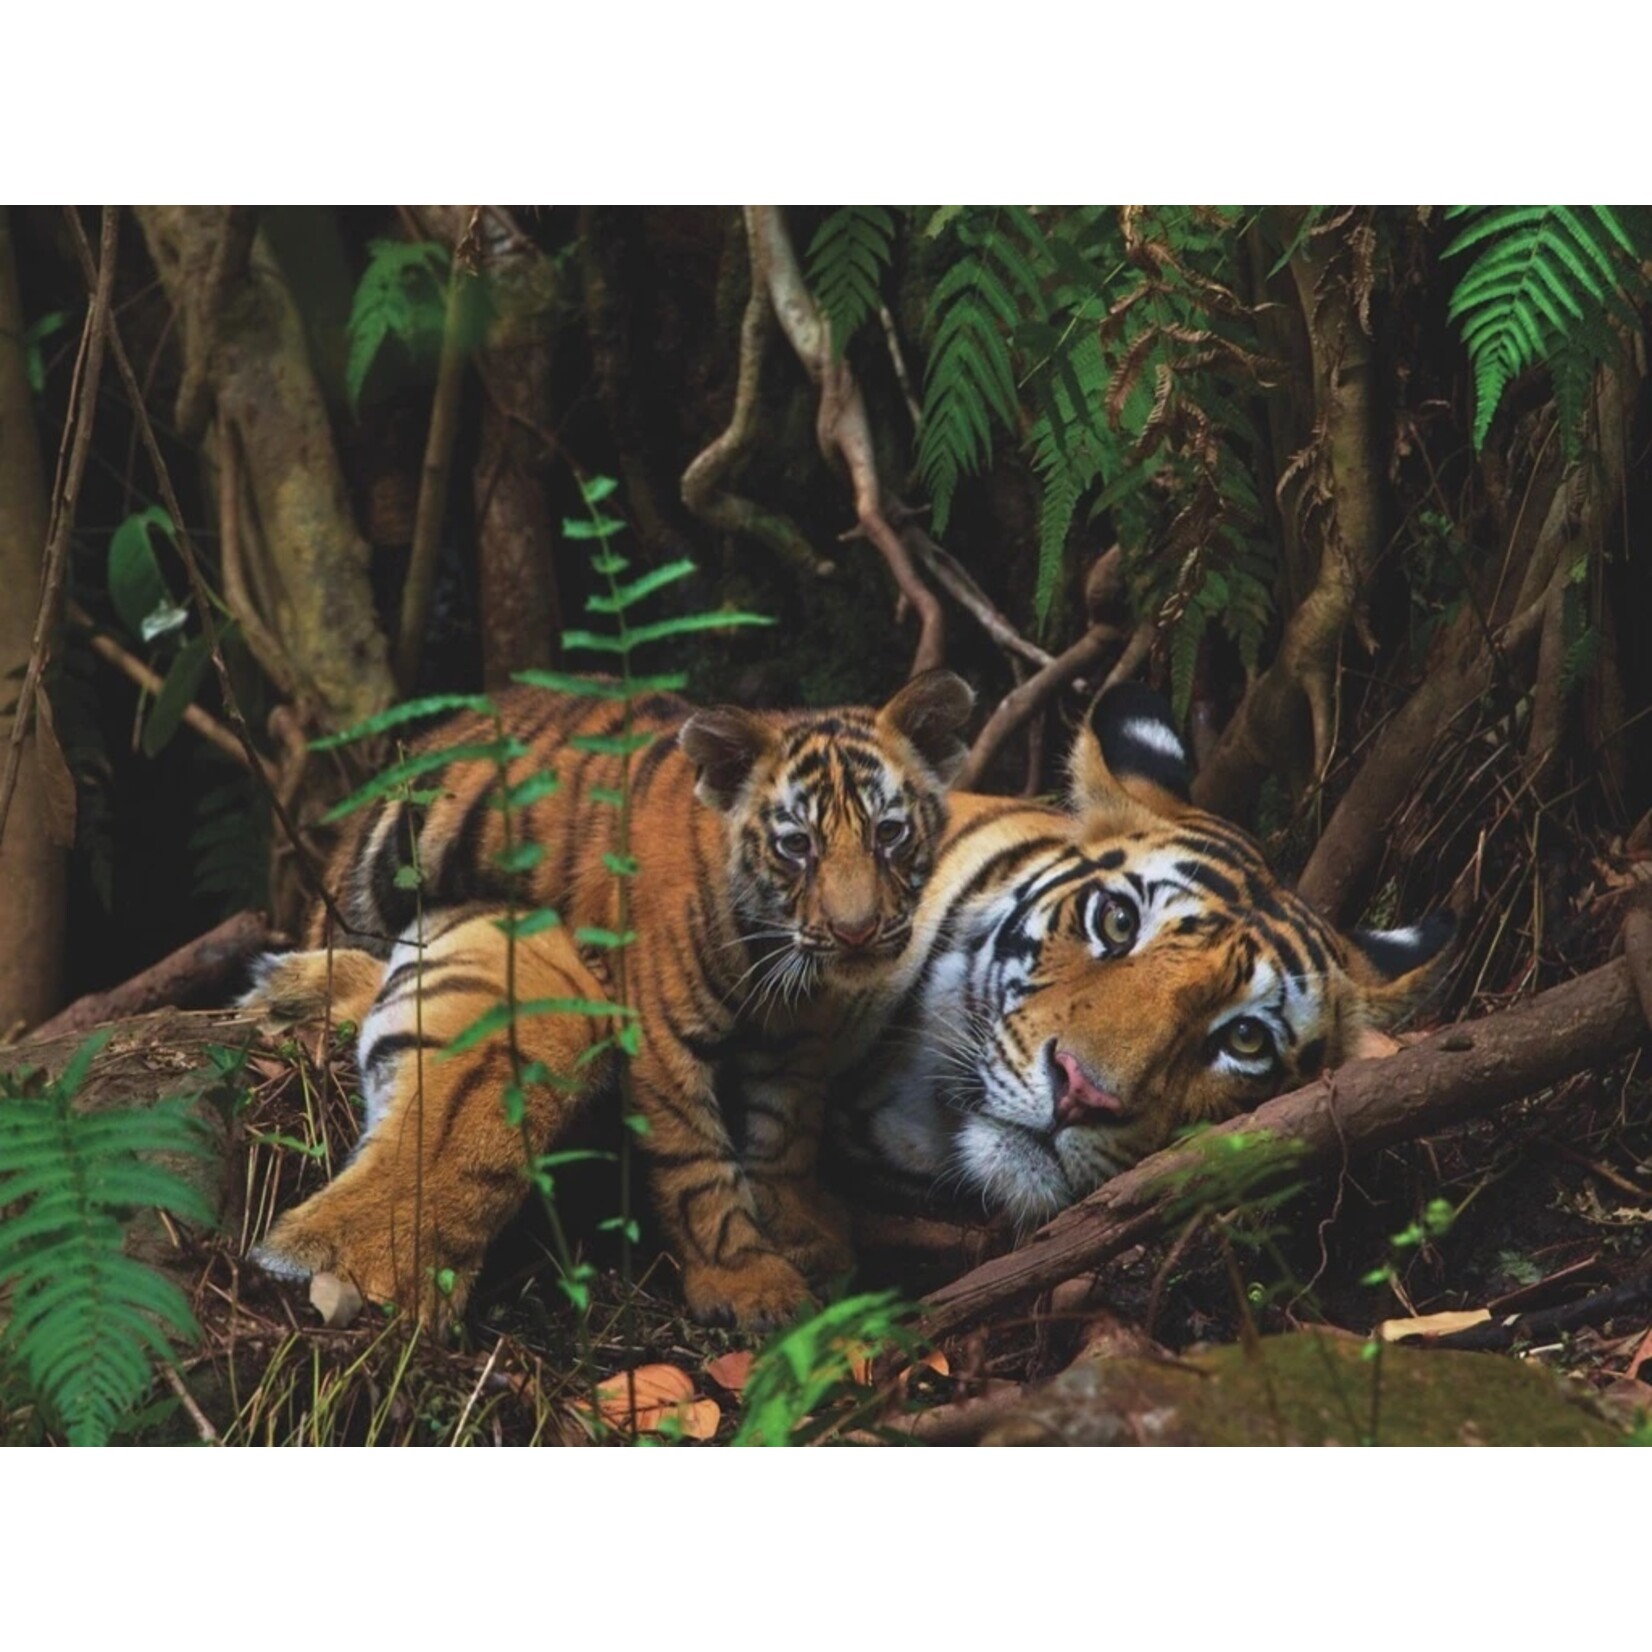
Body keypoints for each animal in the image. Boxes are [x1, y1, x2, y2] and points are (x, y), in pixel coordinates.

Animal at [243, 672, 975, 1328]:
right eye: (797, 844)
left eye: (889, 833)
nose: (856, 931)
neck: (776, 956)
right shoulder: (662, 1036)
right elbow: (696, 1164)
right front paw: (749, 1286)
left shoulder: (794, 1043)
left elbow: (784, 1136)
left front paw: (802, 1234)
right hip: (372, 882)